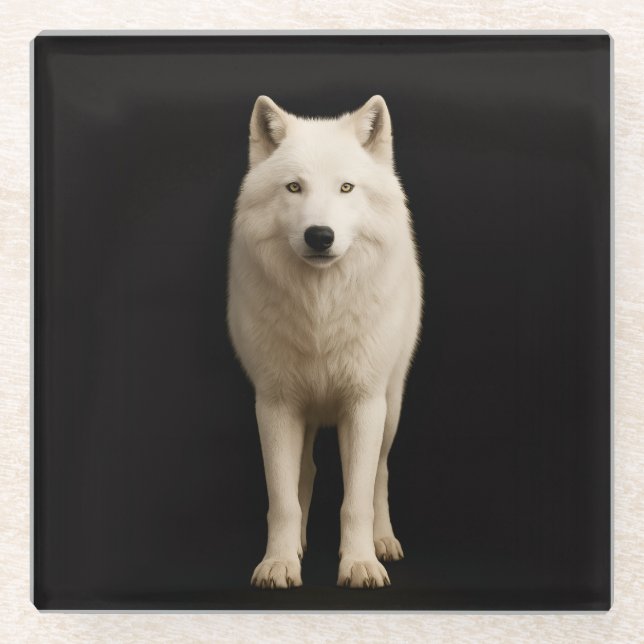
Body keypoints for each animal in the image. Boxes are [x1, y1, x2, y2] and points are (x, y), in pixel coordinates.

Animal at [227, 94, 423, 589]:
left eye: (346, 188)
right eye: (294, 188)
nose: (319, 235)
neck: (320, 311)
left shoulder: (364, 403)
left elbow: (355, 501)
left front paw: (360, 564)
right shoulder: (274, 405)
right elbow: (282, 499)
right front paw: (279, 563)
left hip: (391, 407)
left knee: (379, 475)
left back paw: (383, 541)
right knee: (306, 471)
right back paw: (297, 545)